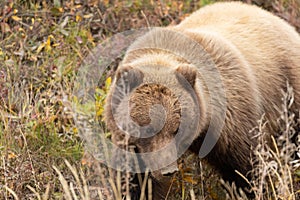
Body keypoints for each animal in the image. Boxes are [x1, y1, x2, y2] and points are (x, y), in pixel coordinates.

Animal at [103, 1, 300, 198]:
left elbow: (244, 169)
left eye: (177, 129)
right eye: (148, 128)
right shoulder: (129, 143)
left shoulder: (231, 119)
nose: (168, 170)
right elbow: (133, 179)